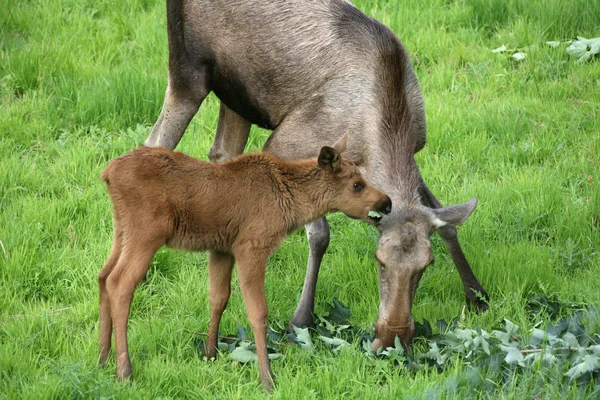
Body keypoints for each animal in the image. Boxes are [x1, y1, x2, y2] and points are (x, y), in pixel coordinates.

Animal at [96, 135, 392, 390]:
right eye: (357, 185)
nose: (387, 203)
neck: (291, 202)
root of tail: (107, 174)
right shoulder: (251, 247)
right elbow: (258, 312)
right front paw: (267, 378)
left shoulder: (221, 249)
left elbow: (218, 298)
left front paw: (210, 352)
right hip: (147, 232)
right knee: (120, 283)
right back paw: (124, 370)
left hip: (121, 229)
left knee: (103, 276)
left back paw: (102, 357)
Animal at [144, 0, 488, 354]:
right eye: (379, 260)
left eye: (426, 265)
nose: (392, 337)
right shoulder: (286, 145)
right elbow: (320, 234)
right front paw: (300, 319)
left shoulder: (412, 155)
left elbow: (444, 219)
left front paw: (476, 295)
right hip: (188, 72)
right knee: (155, 143)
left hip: (238, 96)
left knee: (220, 154)